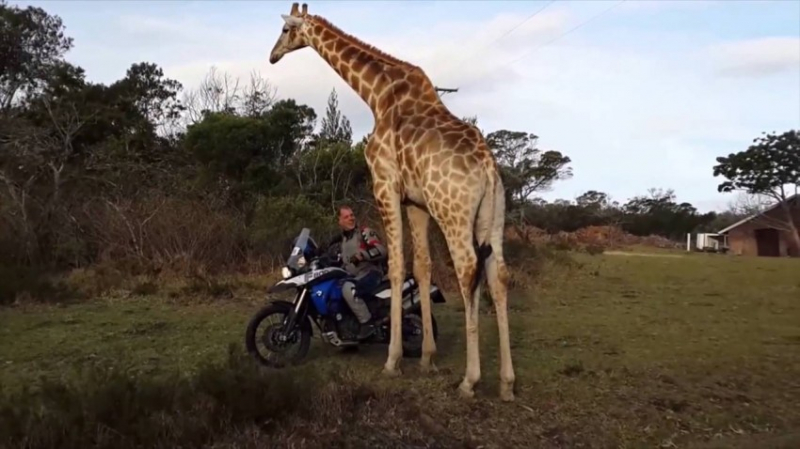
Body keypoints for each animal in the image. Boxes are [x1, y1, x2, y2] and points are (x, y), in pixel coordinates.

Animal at [268, 2, 516, 402]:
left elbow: (396, 267)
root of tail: (489, 170)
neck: (376, 94)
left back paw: (470, 380)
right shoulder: (415, 202)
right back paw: (507, 383)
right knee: (499, 275)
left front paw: (392, 360)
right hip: (493, 217)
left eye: (287, 29)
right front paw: (427, 357)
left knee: (467, 271)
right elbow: (422, 268)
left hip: (453, 212)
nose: (273, 56)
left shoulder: (384, 183)